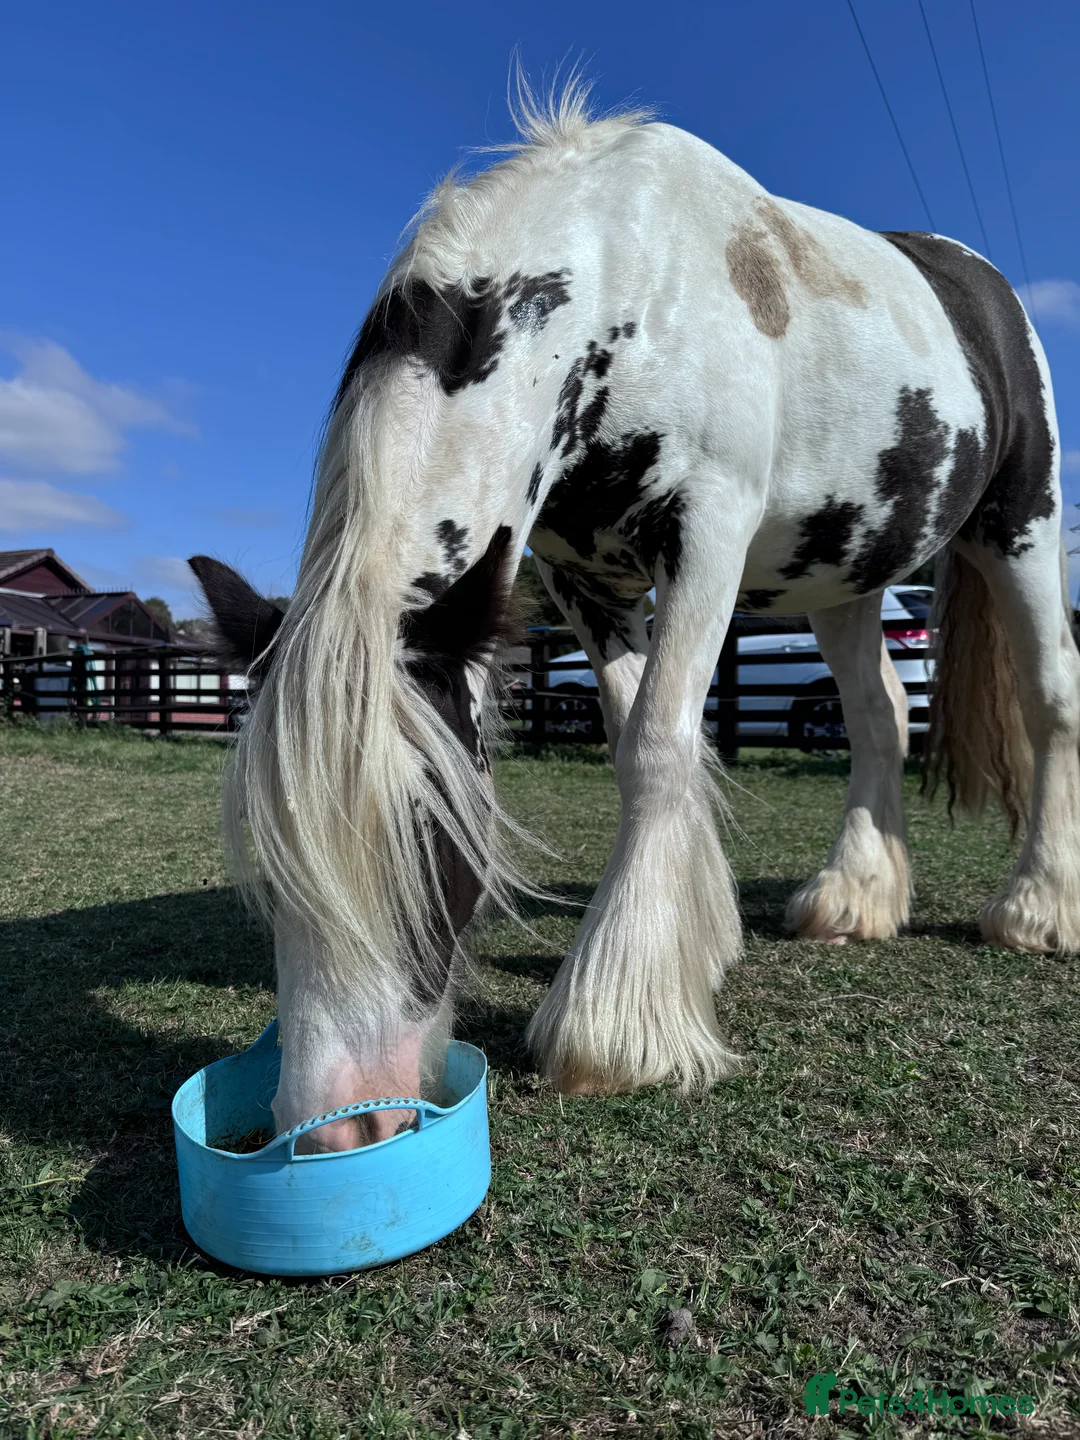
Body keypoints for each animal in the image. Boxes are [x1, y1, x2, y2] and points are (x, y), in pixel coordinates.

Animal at [190, 83, 1075, 1152]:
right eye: (269, 867)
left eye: (431, 842)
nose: (339, 1129)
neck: (628, 277)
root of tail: (977, 282)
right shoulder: (581, 578)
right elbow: (641, 739)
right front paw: (698, 941)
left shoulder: (706, 533)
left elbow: (657, 745)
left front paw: (613, 1028)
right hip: (843, 580)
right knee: (878, 718)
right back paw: (856, 896)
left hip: (1021, 526)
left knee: (1051, 698)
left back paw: (1037, 908)